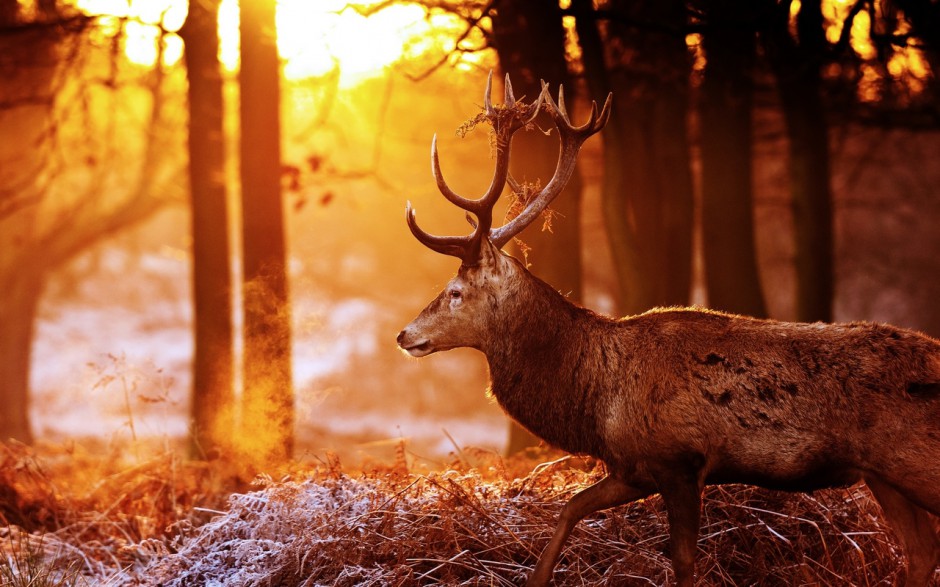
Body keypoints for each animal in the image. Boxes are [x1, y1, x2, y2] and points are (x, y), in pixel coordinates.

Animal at [396, 73, 940, 587]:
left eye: (455, 291)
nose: (404, 335)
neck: (596, 399)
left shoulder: (680, 460)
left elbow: (682, 561)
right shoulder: (633, 466)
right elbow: (570, 508)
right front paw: (537, 576)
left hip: (915, 460)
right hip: (884, 476)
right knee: (921, 553)